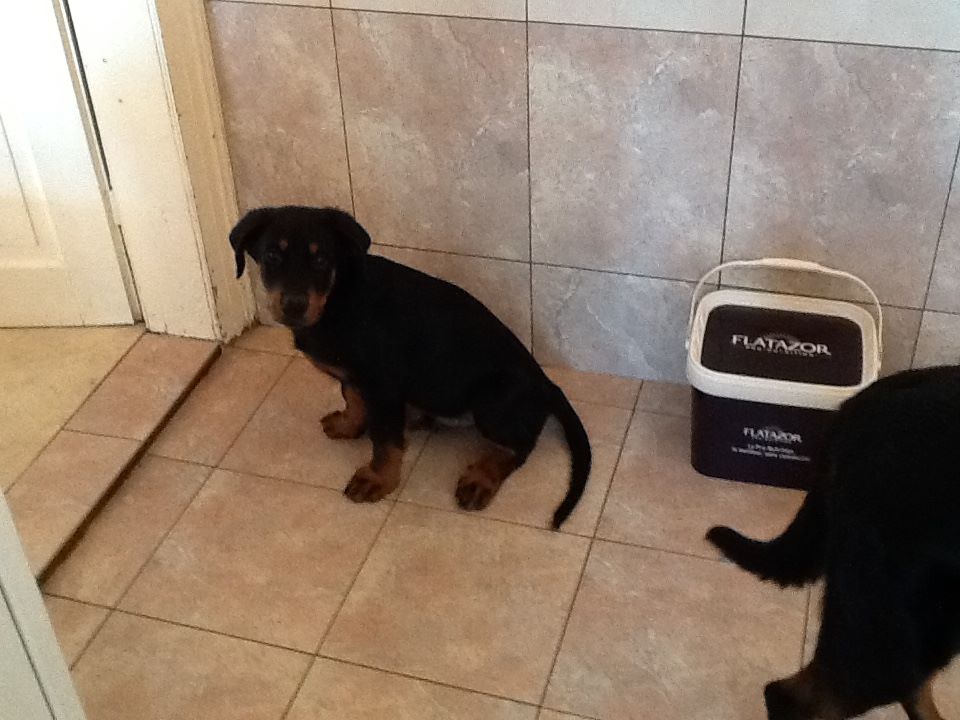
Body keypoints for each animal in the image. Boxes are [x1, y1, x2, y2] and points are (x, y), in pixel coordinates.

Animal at [230, 205, 591, 529]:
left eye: (321, 260)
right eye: (272, 257)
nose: (294, 306)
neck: (338, 299)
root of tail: (547, 384)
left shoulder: (382, 383)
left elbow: (385, 442)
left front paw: (377, 480)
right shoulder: (360, 380)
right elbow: (353, 398)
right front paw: (348, 424)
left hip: (493, 402)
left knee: (520, 444)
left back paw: (480, 478)